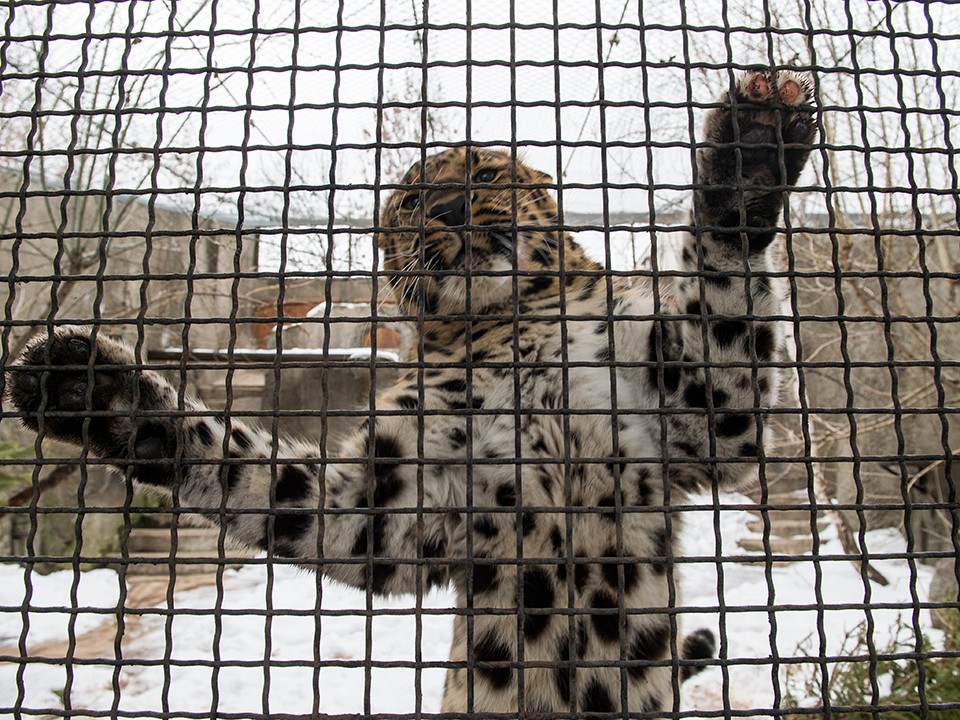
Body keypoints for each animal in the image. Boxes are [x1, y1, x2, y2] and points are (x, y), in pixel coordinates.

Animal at [7, 66, 816, 716]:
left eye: (484, 175)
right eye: (409, 206)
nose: (451, 210)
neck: (510, 325)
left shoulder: (695, 422)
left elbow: (724, 302)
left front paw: (750, 156)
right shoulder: (391, 498)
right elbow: (237, 464)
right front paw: (89, 386)